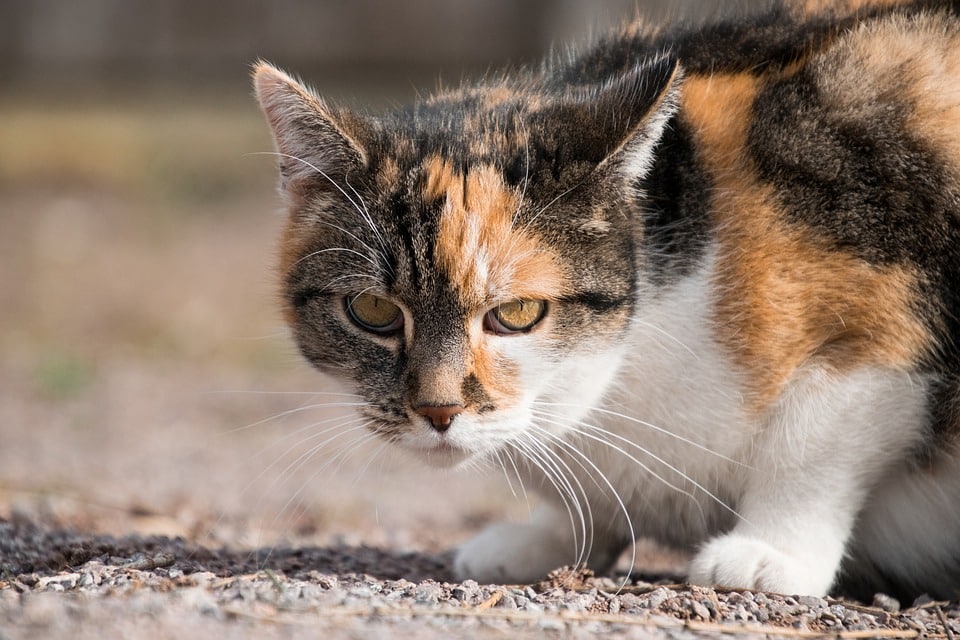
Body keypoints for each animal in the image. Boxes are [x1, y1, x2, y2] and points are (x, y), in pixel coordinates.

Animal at [253, 0, 960, 600]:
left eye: (516, 314)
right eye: (373, 311)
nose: (438, 409)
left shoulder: (881, 308)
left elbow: (813, 442)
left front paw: (768, 555)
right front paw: (543, 540)